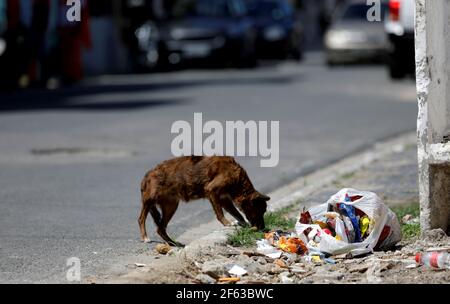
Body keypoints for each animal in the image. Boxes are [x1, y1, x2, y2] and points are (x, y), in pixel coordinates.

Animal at [139, 157, 268, 247]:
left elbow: (237, 214)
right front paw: (227, 223)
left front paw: (243, 224)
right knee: (141, 219)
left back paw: (173, 243)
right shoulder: (212, 190)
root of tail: (147, 174)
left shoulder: (224, 199)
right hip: (150, 201)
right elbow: (220, 212)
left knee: (160, 229)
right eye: (261, 211)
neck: (238, 180)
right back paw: (145, 237)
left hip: (171, 206)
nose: (263, 228)